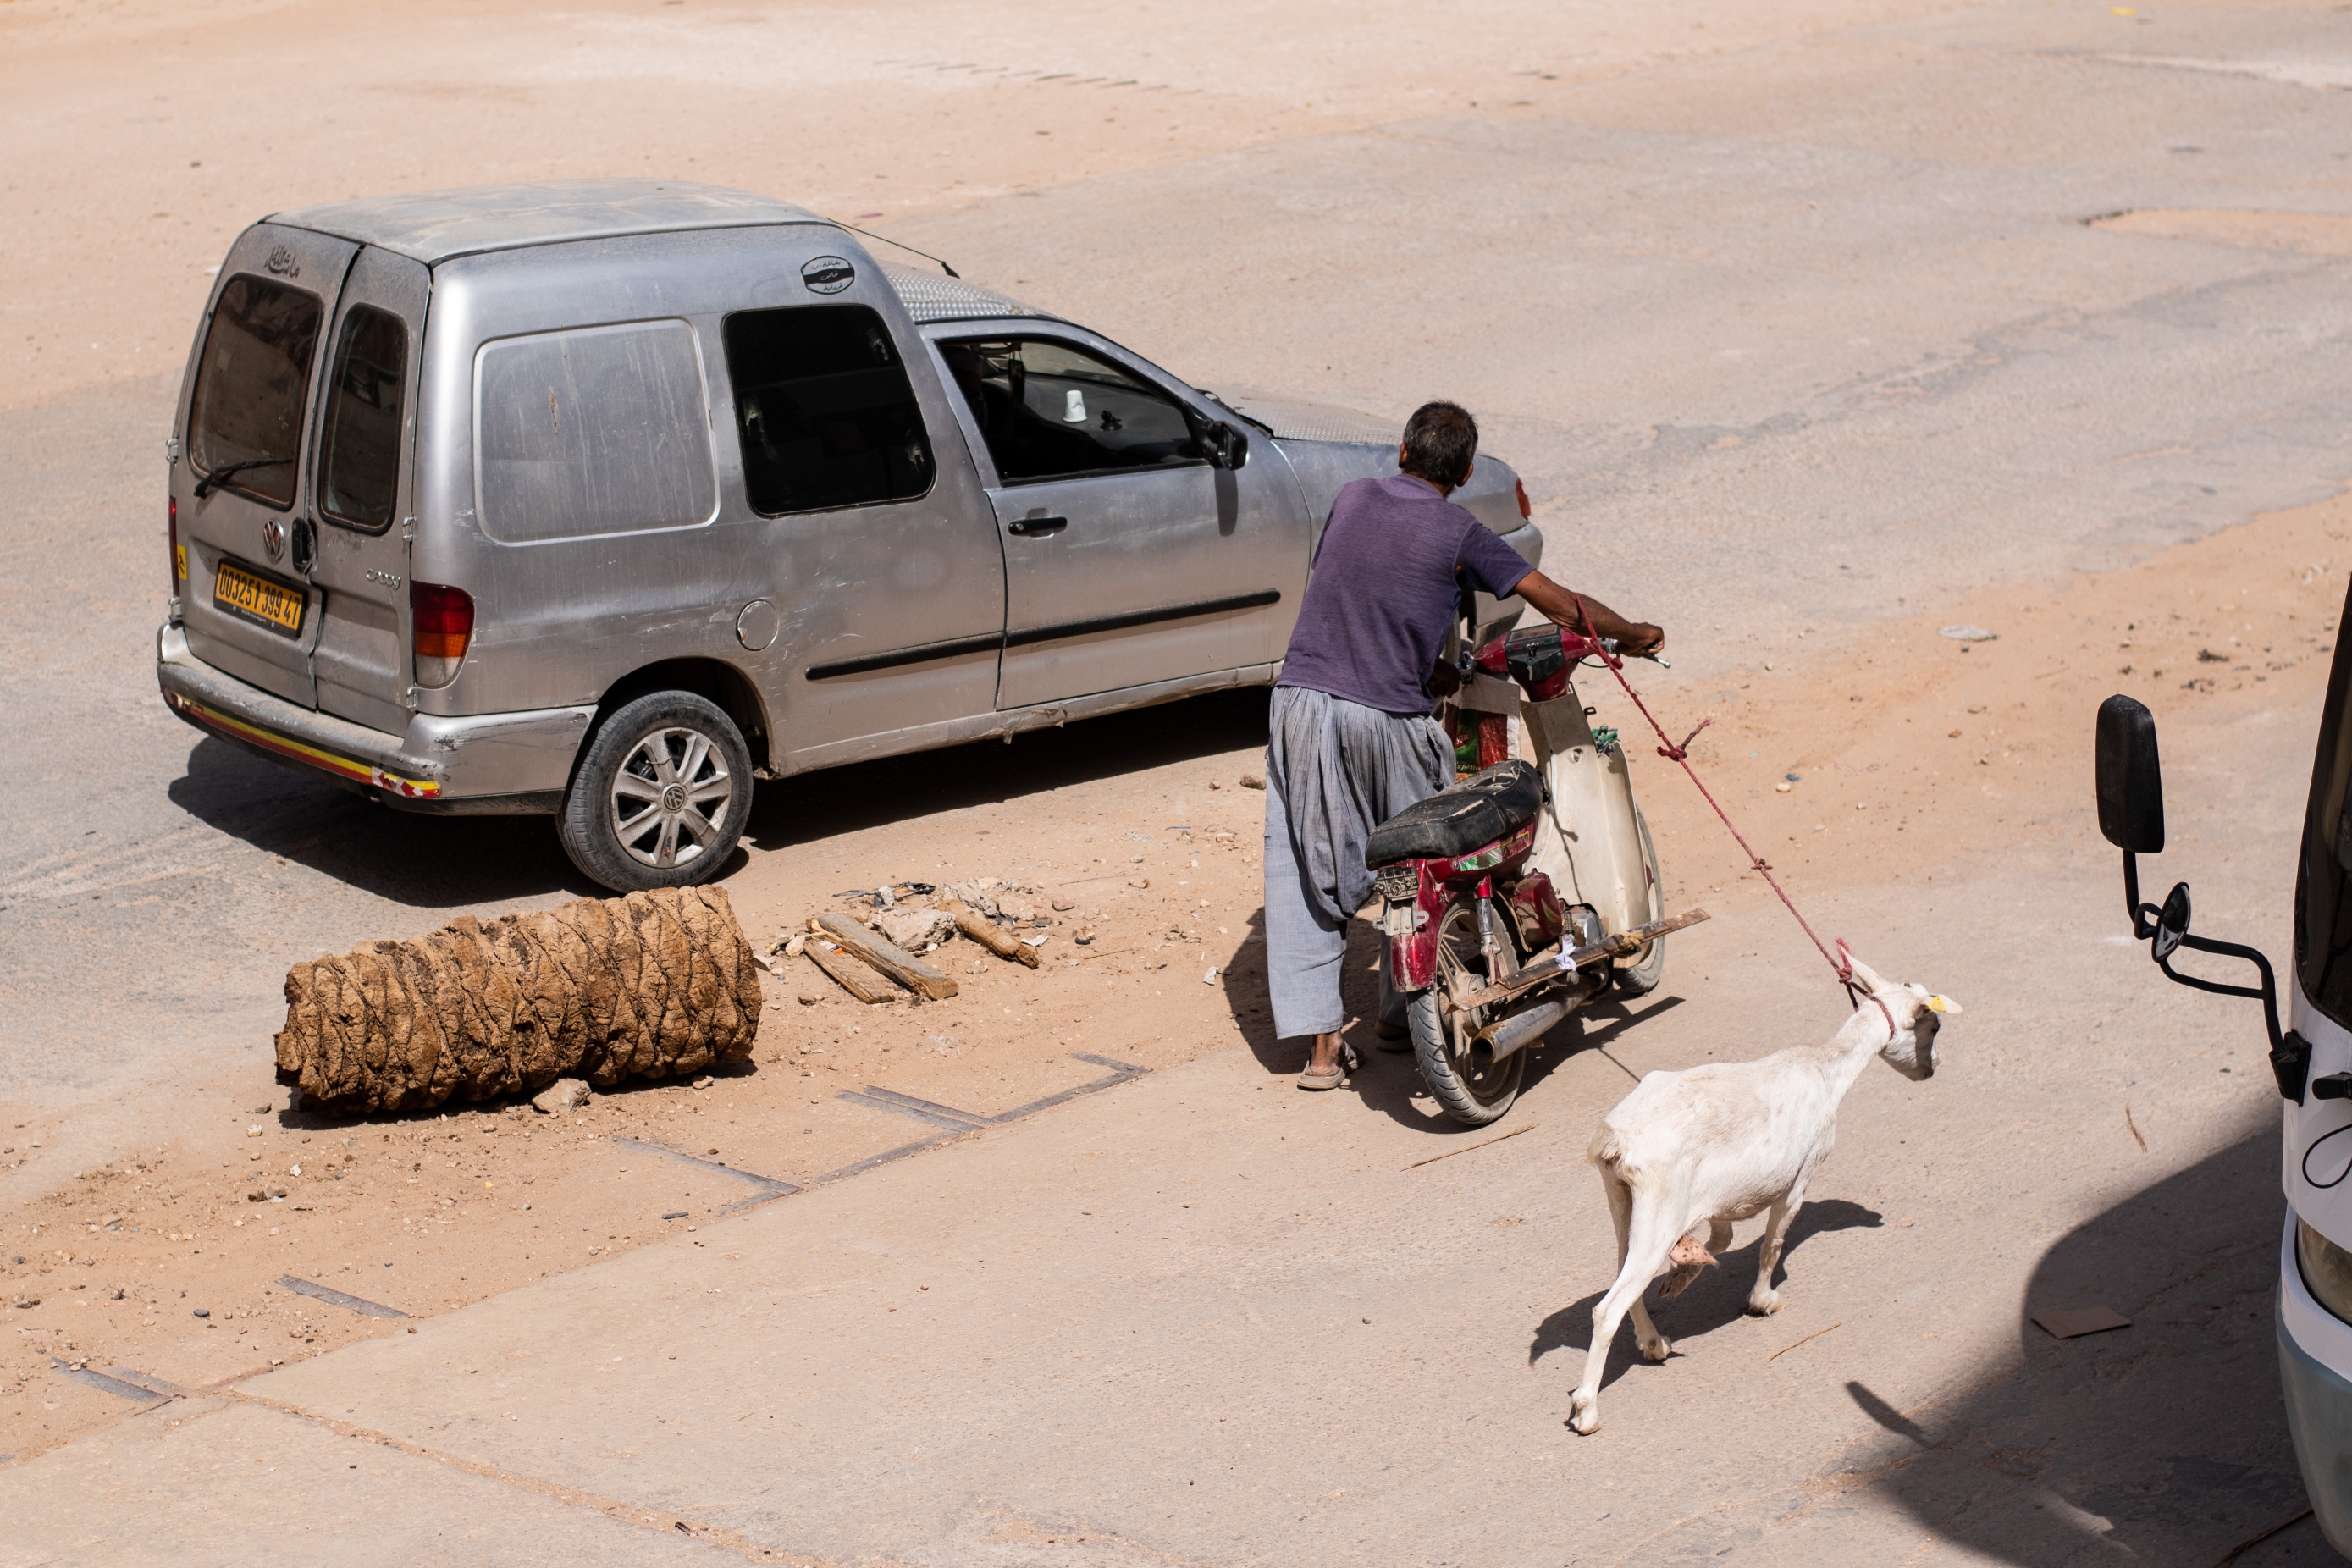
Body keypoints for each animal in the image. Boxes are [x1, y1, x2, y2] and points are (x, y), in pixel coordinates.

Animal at [1561, 958, 1966, 1438]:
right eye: (1934, 1027)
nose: (1934, 1068)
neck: (1825, 1071)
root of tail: (1613, 1141)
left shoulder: (1717, 1199)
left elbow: (1723, 1240)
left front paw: (1680, 1278)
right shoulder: (1800, 1177)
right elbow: (1771, 1245)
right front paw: (1762, 1301)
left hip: (1622, 1198)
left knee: (1624, 1276)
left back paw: (1655, 1342)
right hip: (1662, 1206)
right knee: (1608, 1308)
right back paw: (1587, 1410)